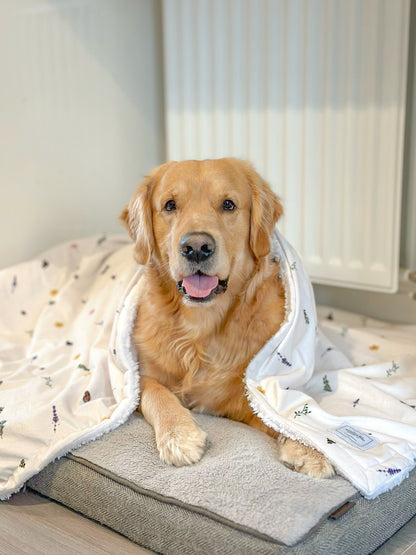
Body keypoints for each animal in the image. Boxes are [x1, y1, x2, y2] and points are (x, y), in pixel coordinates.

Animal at [119, 159, 332, 480]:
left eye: (229, 205)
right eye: (170, 205)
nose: (196, 247)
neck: (200, 327)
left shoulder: (251, 393)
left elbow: (279, 416)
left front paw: (309, 449)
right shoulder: (140, 375)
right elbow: (157, 394)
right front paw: (179, 435)